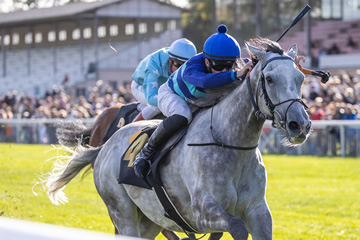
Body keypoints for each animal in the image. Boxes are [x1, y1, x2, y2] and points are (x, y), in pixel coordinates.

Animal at [44, 38, 312, 240]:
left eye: (300, 79)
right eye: (270, 79)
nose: (300, 125)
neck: (232, 144)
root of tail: (104, 147)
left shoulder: (258, 211)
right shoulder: (201, 211)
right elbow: (237, 228)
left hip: (150, 217)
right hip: (121, 209)